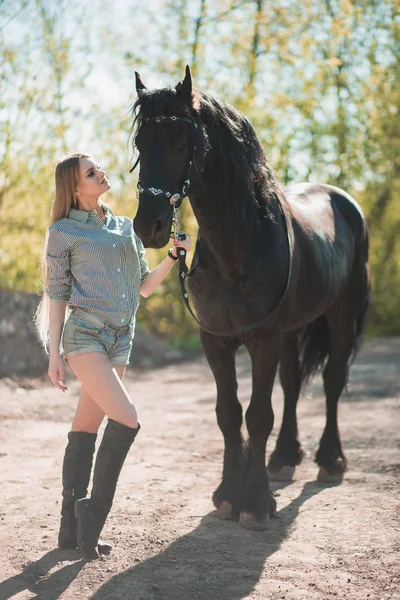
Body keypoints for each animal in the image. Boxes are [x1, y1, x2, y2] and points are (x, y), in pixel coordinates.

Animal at [131, 64, 368, 524]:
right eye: (139, 143)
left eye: (182, 143)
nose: (148, 225)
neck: (239, 246)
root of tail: (343, 201)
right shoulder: (215, 340)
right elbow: (228, 414)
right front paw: (228, 494)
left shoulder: (263, 338)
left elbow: (258, 415)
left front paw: (256, 503)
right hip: (292, 330)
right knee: (293, 385)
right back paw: (284, 458)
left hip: (340, 318)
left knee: (331, 382)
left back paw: (330, 460)